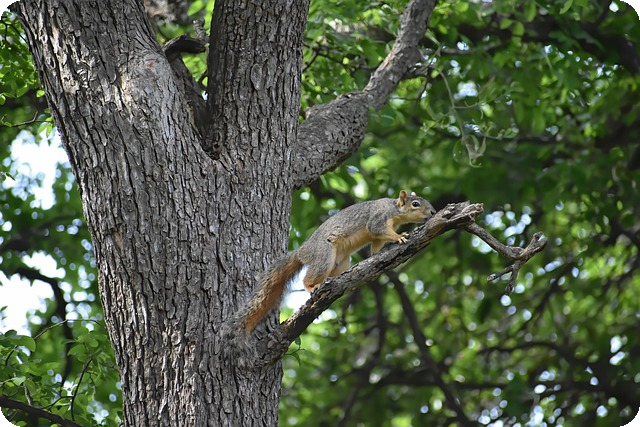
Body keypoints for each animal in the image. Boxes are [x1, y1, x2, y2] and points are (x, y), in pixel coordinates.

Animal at [234, 190, 437, 335]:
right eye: (416, 204)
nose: (433, 212)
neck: (394, 210)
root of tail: (302, 252)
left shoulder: (377, 236)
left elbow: (376, 245)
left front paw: (378, 252)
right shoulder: (379, 218)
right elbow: (377, 229)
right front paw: (399, 237)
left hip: (341, 264)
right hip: (323, 256)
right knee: (308, 278)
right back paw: (312, 287)